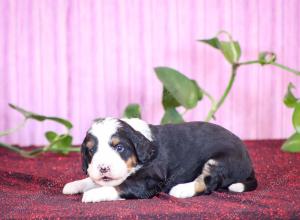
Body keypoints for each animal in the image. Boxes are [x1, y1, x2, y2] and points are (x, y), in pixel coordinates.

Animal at [62, 117, 256, 202]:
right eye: (91, 150)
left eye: (119, 148)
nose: (103, 168)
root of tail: (249, 163)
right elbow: (94, 180)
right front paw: (74, 185)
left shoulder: (148, 181)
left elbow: (118, 187)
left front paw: (92, 194)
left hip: (220, 160)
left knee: (208, 182)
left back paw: (182, 189)